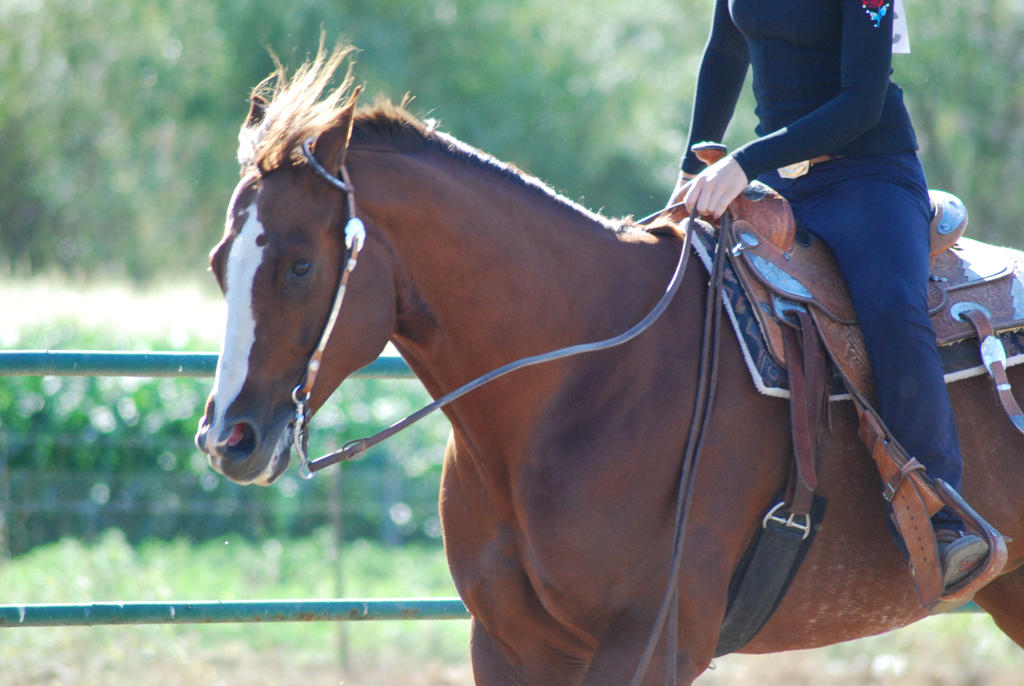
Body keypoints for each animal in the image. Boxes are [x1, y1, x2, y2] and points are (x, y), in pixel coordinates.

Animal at [197, 45, 1024, 683]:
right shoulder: (510, 645)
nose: (226, 438)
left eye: (301, 265)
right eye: (216, 263)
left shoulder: (654, 642)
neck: (579, 382)